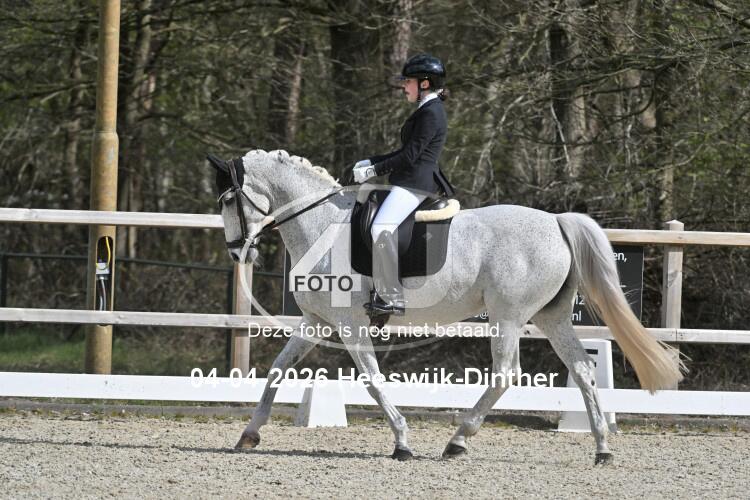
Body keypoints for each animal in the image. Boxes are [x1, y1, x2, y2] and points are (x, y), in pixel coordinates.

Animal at [208, 149, 685, 464]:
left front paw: (402, 442)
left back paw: (457, 440)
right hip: (550, 316)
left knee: (506, 373)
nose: (236, 252)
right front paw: (249, 434)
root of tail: (556, 222)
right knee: (583, 369)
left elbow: (372, 381)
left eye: (229, 200)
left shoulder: (351, 324)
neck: (321, 225)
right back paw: (602, 448)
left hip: (507, 316)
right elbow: (276, 370)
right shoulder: (316, 321)